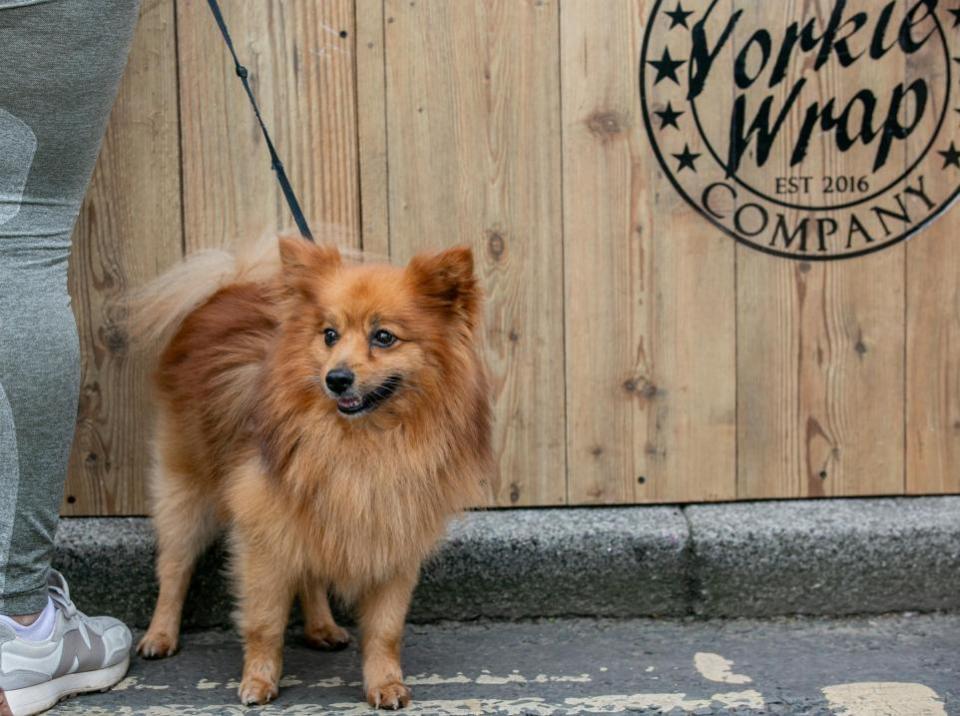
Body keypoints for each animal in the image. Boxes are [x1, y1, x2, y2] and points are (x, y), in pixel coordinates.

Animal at [126, 238, 492, 708]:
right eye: (329, 335)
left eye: (384, 337)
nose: (336, 378)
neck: (363, 443)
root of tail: (228, 288)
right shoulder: (263, 530)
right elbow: (264, 621)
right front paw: (259, 680)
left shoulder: (392, 534)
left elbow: (385, 630)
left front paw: (385, 683)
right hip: (185, 488)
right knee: (174, 566)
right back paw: (160, 635)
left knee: (310, 572)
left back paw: (322, 626)